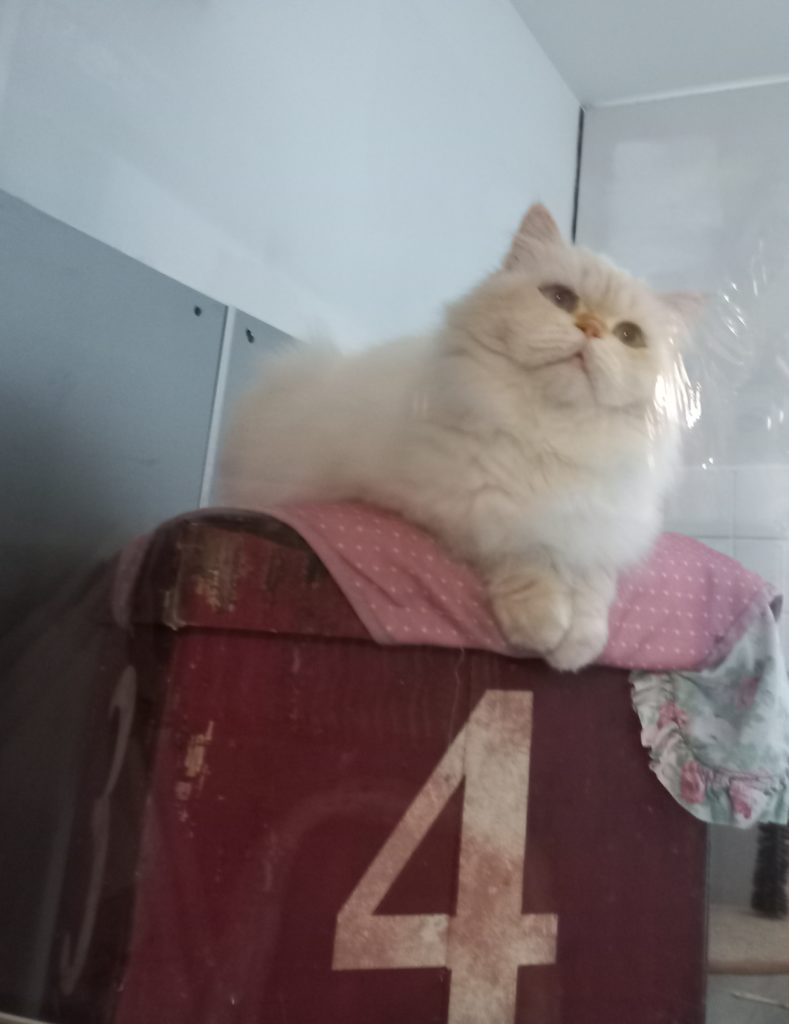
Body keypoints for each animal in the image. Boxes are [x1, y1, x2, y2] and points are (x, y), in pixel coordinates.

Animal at [219, 204, 694, 670]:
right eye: (561, 298)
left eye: (629, 335)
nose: (592, 328)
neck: (550, 436)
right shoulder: (462, 510)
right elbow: (526, 556)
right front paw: (543, 625)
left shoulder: (602, 529)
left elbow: (595, 585)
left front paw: (580, 645)